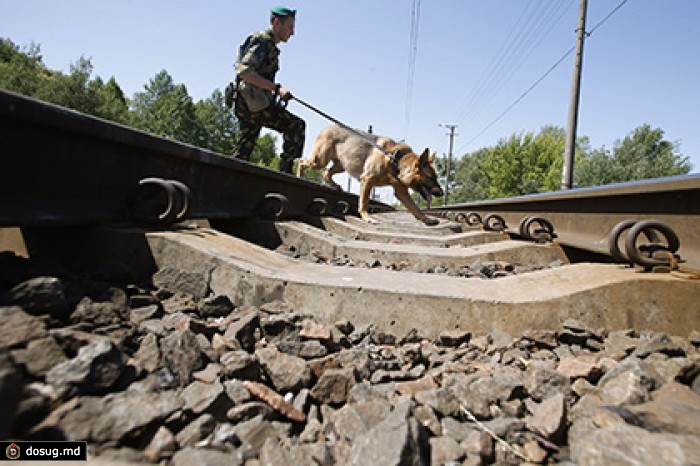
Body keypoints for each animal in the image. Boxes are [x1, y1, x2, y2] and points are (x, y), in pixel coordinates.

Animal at [296, 124, 442, 226]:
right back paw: (300, 176)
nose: (442, 193)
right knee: (302, 162)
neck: (396, 160)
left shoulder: (401, 192)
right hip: (320, 160)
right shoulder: (367, 180)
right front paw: (367, 218)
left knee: (326, 173)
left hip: (341, 166)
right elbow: (364, 202)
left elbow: (416, 209)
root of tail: (328, 127)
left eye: (436, 178)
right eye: (431, 178)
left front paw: (427, 219)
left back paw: (336, 186)